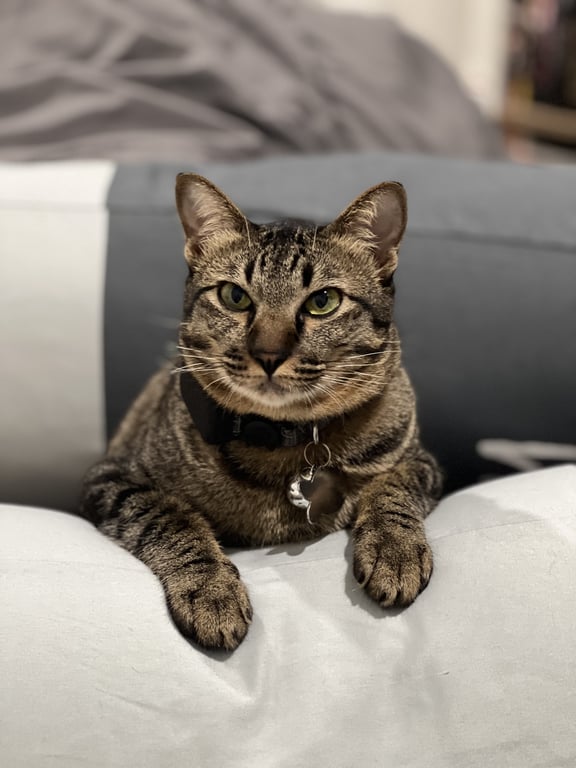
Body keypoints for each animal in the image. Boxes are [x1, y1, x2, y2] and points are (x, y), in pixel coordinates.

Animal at [80, 173, 443, 651]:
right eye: (234, 296)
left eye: (323, 301)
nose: (268, 354)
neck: (284, 442)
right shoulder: (110, 479)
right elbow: (169, 517)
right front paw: (213, 592)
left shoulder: (422, 461)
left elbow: (395, 487)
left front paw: (394, 550)